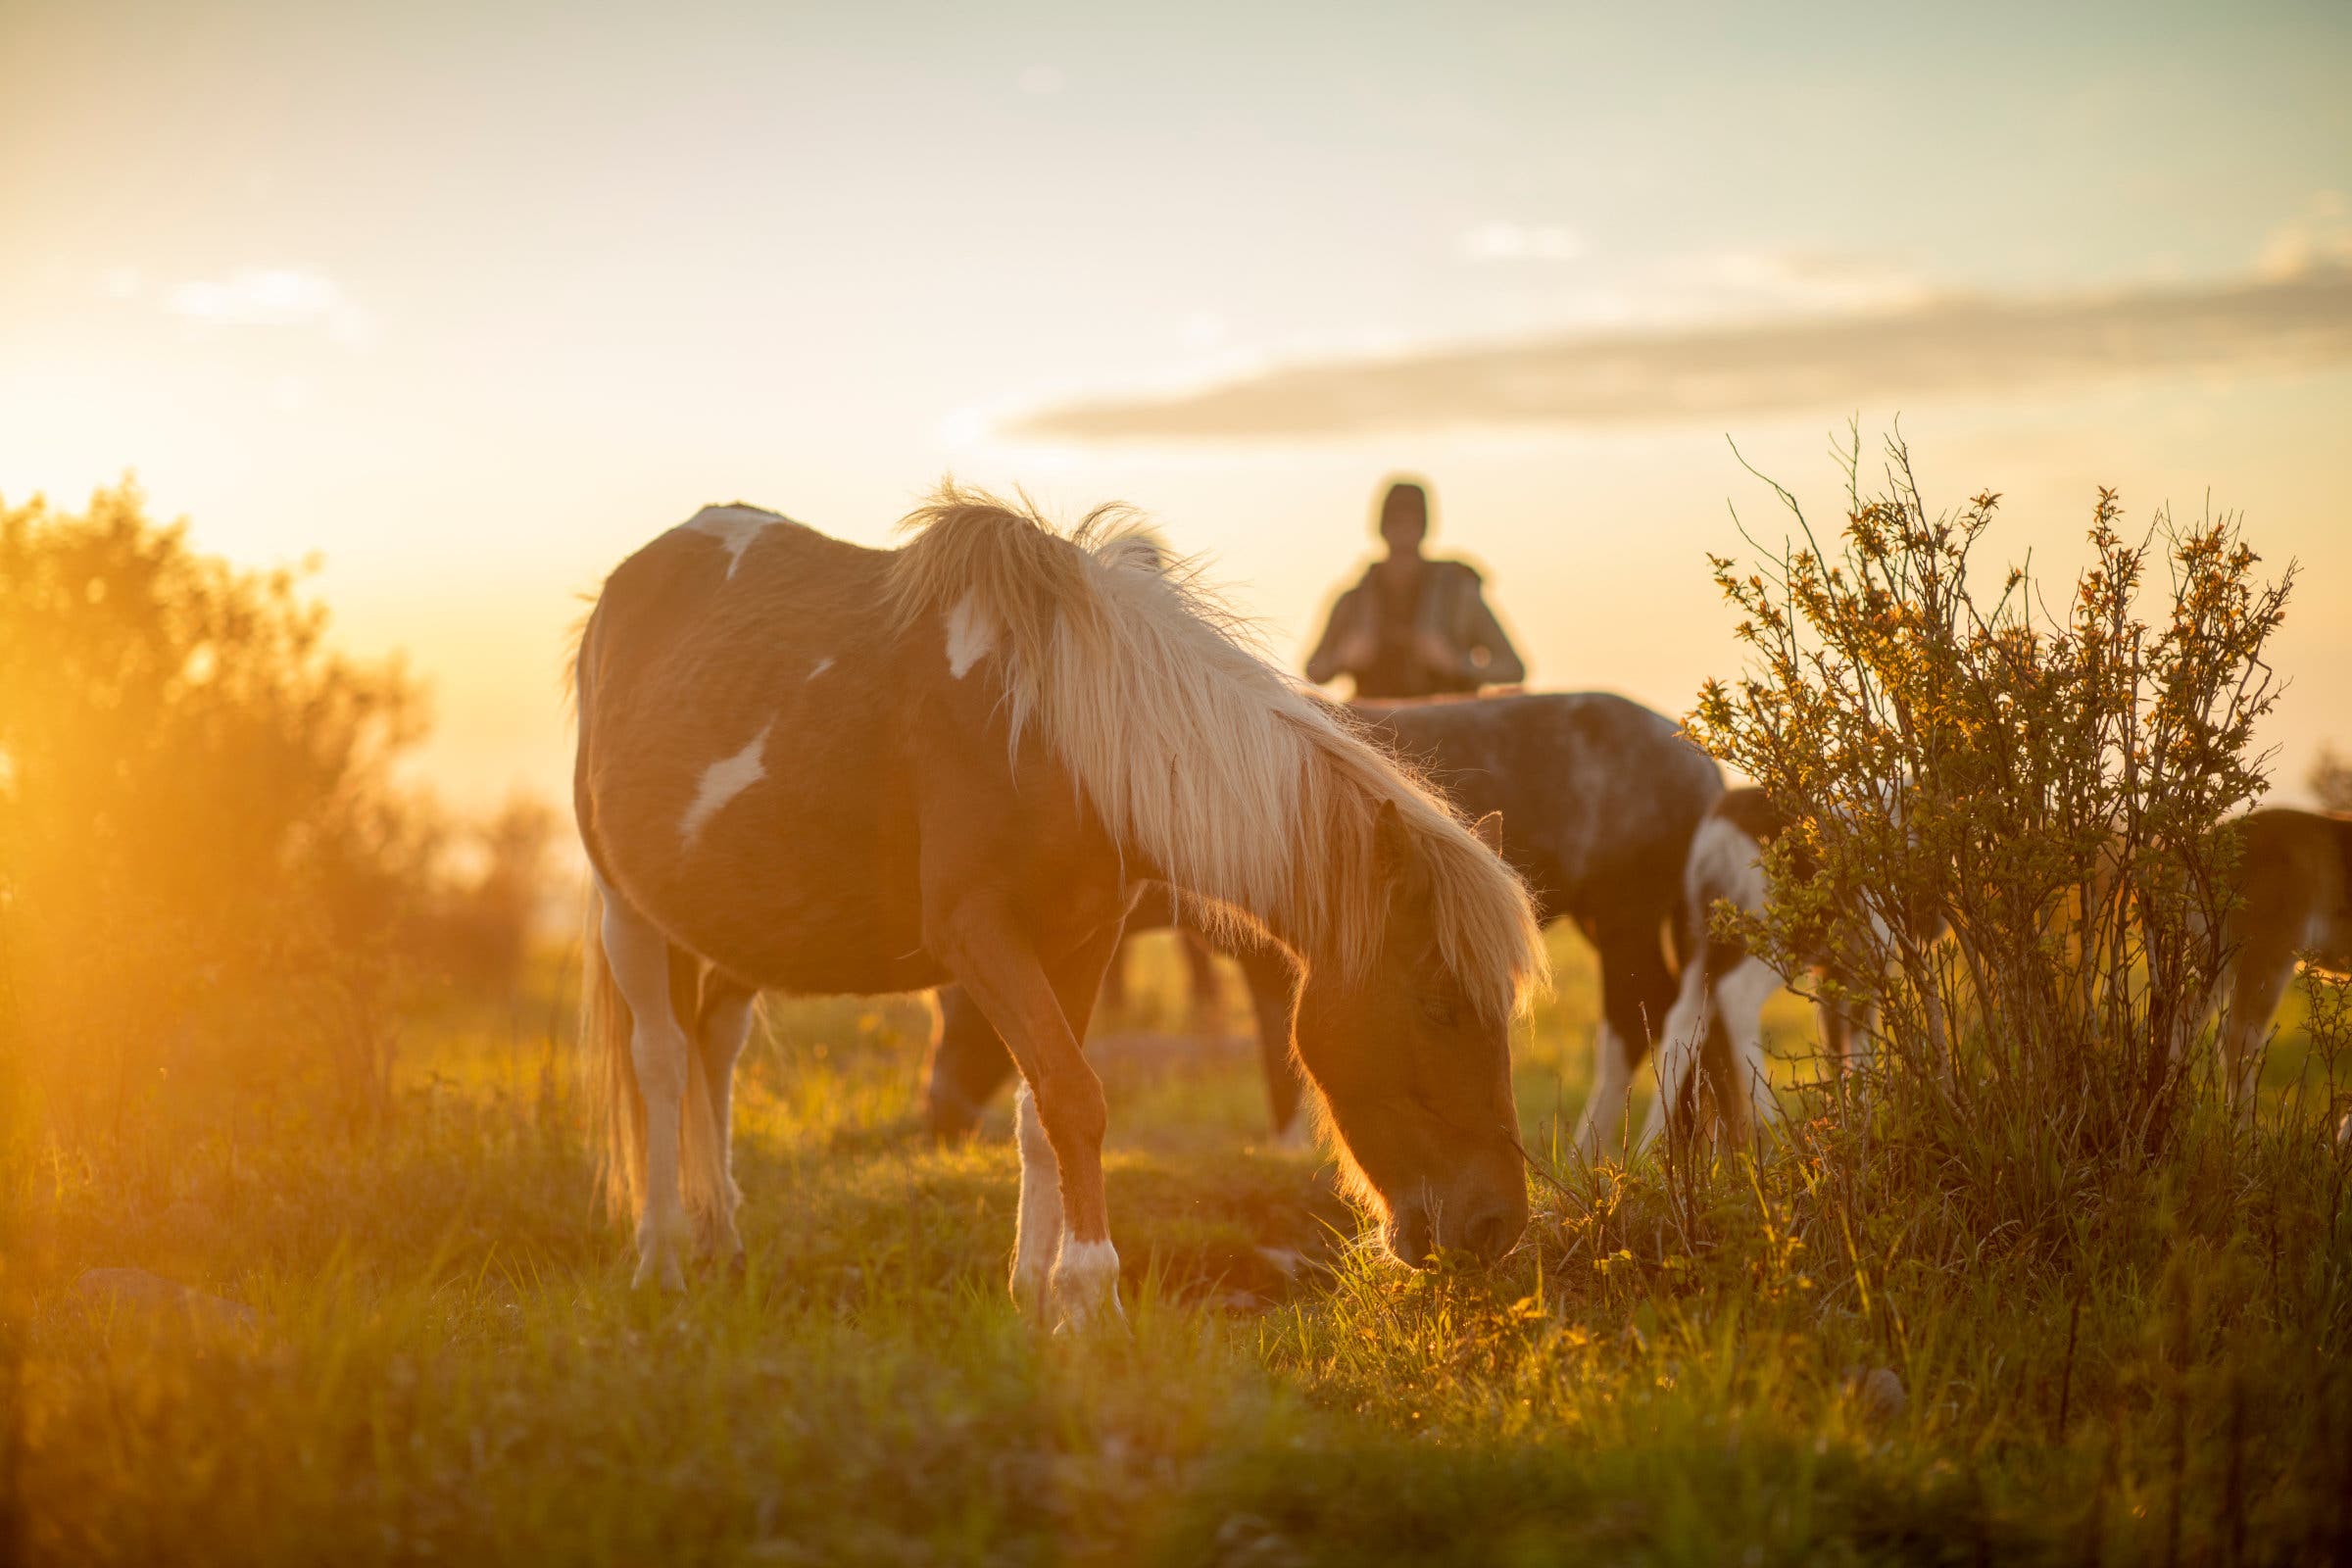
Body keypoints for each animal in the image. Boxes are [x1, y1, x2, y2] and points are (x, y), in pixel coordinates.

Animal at [572, 489, 1548, 1325]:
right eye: (1438, 1004)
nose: (1499, 1225)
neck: (1055, 732)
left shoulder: (1082, 940)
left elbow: (1042, 1110)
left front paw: (1035, 1298)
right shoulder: (979, 935)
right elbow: (1074, 1098)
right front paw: (1089, 1292)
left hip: (736, 926)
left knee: (715, 1049)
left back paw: (721, 1239)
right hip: (630, 911)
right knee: (661, 1060)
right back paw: (662, 1255)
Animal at [922, 691, 1725, 1160]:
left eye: (974, 1019)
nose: (936, 1122)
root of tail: (1701, 759)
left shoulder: (1272, 962)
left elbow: (1278, 1043)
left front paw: (1285, 1149)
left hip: (1624, 913)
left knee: (1642, 1012)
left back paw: (1601, 1148)